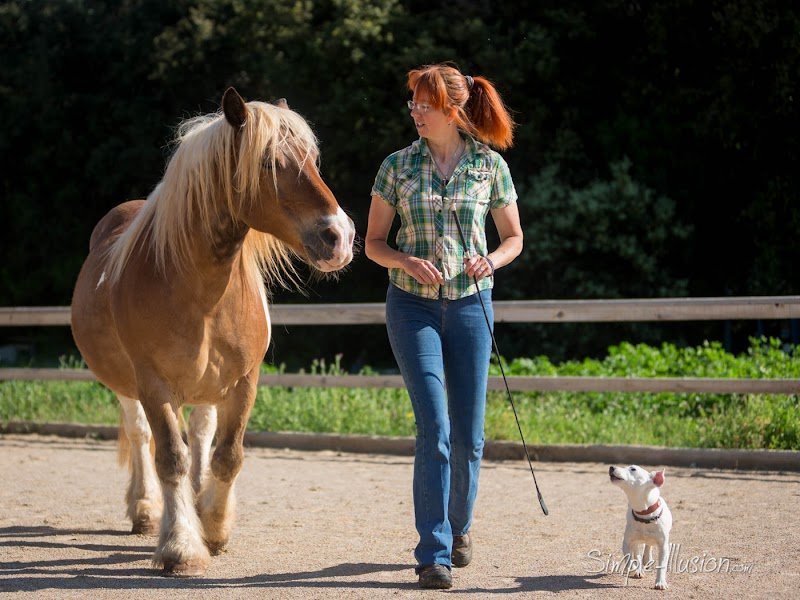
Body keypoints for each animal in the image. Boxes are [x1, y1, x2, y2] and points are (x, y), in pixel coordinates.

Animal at [71, 87, 355, 576]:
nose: (339, 236)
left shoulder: (244, 381)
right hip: (126, 384)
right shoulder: (154, 384)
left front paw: (215, 528)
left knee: (202, 435)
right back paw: (146, 511)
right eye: (267, 163)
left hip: (208, 384)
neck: (197, 288)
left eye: (313, 158)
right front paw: (181, 546)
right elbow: (170, 458)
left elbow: (227, 455)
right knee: (141, 436)